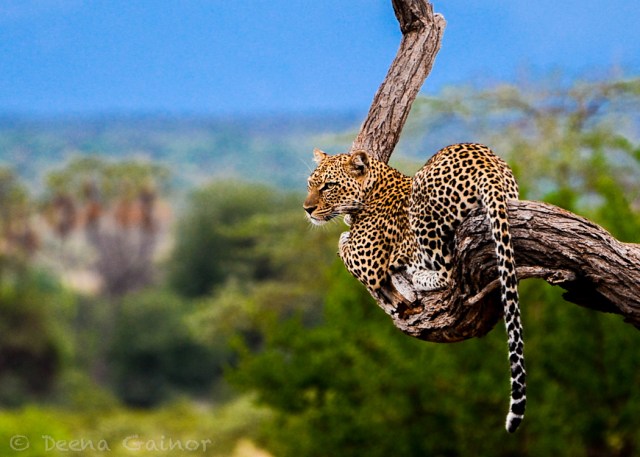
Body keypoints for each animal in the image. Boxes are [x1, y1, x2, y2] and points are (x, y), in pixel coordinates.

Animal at [303, 143, 526, 433]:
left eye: (329, 186)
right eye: (310, 184)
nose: (306, 209)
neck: (373, 187)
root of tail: (486, 165)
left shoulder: (367, 262)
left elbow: (343, 243)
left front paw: (346, 232)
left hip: (422, 202)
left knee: (448, 270)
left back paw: (418, 273)